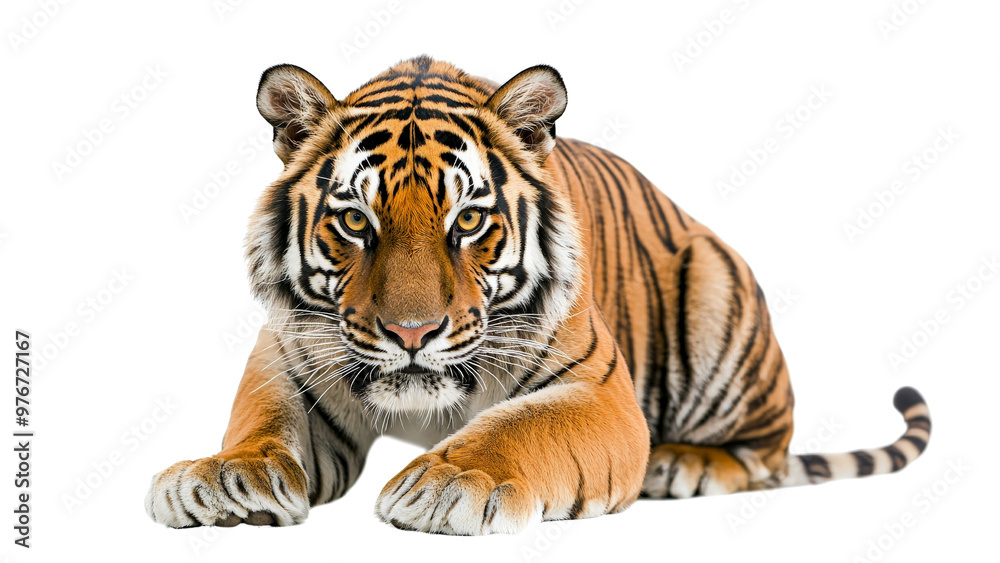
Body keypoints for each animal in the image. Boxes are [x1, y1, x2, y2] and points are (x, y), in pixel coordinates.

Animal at [144, 56, 931, 534]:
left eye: (467, 221)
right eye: (356, 222)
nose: (411, 333)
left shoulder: (600, 392)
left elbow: (519, 426)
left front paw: (448, 483)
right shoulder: (287, 352)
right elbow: (260, 419)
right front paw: (223, 477)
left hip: (718, 295)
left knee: (766, 448)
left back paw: (689, 464)